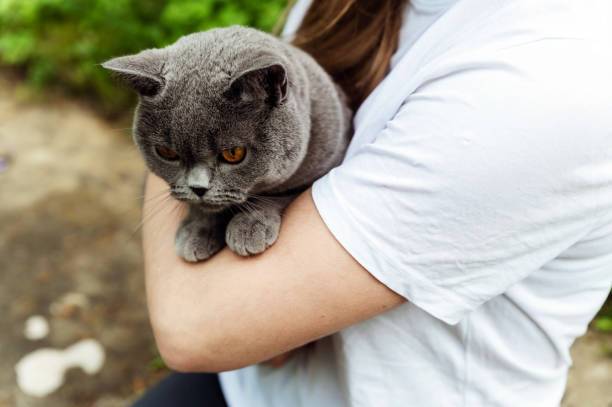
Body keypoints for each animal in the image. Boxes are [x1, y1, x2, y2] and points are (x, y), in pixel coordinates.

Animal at [103, 26, 352, 262]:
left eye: (234, 153)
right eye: (167, 152)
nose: (198, 188)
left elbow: (277, 194)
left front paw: (249, 227)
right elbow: (203, 209)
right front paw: (196, 232)